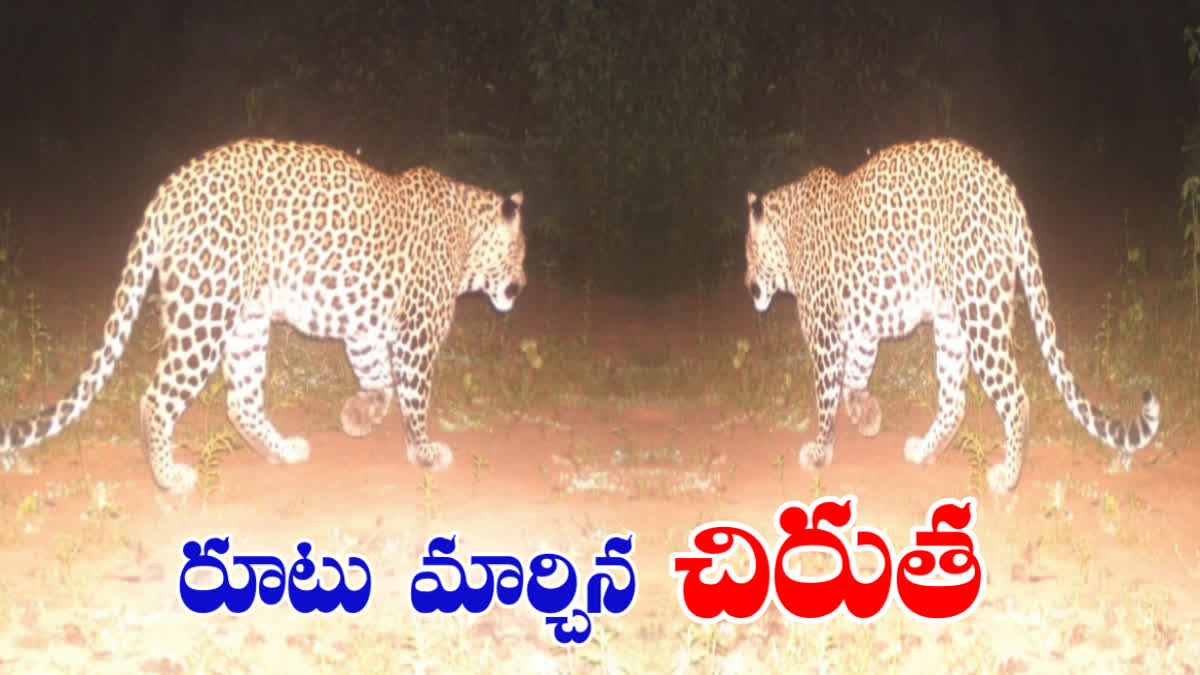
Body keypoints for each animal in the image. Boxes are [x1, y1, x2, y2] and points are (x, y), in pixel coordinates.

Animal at [1, 138, 525, 494]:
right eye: (520, 253)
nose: (522, 286)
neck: (467, 236)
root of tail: (171, 187)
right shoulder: (417, 334)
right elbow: (414, 397)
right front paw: (424, 451)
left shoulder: (363, 327)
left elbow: (379, 380)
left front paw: (358, 417)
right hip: (206, 312)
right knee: (157, 398)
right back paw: (169, 477)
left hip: (246, 322)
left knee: (241, 402)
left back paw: (280, 451)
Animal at [744, 139, 1156, 492]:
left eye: (748, 254)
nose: (747, 284)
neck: (789, 234)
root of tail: (1005, 188)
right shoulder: (863, 328)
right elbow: (854, 379)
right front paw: (868, 417)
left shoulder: (825, 333)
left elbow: (827, 395)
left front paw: (820, 450)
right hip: (950, 322)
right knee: (954, 401)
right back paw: (927, 451)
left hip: (980, 312)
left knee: (1015, 398)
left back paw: (1008, 477)